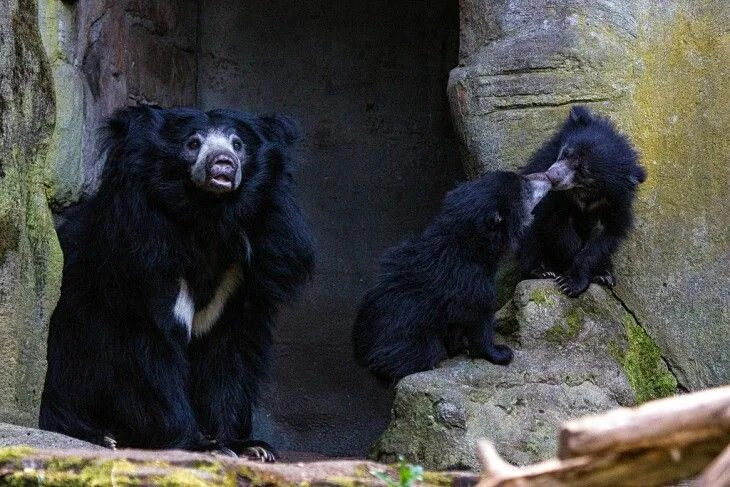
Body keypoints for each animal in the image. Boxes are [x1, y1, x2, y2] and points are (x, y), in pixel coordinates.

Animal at [39, 107, 312, 462]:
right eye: (193, 143)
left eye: (238, 144)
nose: (223, 164)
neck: (209, 220)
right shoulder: (141, 257)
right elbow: (149, 355)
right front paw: (203, 444)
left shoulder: (250, 269)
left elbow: (229, 356)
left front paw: (249, 446)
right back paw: (101, 435)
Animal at [350, 172, 548, 382]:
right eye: (525, 185)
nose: (547, 176)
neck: (469, 245)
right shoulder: (469, 280)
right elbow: (478, 314)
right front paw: (500, 353)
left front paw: (460, 346)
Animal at [516, 107, 644, 298]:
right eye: (566, 153)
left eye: (583, 171)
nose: (552, 177)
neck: (583, 192)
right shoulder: (552, 194)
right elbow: (558, 227)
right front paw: (566, 270)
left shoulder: (614, 204)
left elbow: (602, 239)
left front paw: (575, 281)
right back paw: (542, 271)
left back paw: (605, 274)